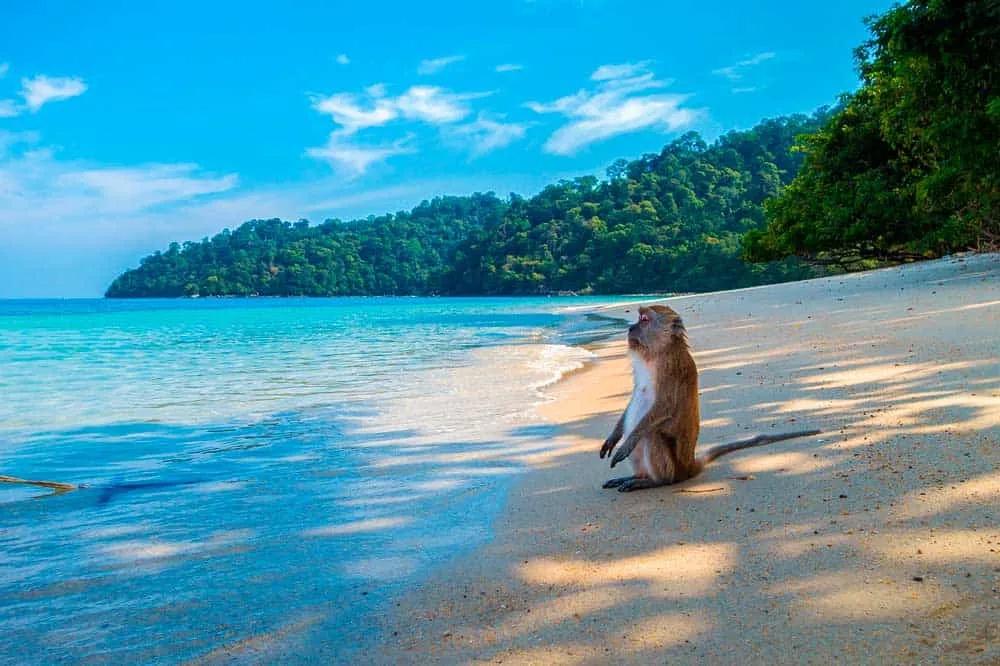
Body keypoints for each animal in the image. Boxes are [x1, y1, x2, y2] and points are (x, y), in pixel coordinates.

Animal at [598, 305, 820, 492]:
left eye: (644, 320)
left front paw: (627, 443)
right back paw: (637, 477)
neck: (657, 351)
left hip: (674, 468)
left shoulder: (670, 368)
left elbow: (665, 406)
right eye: (638, 319)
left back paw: (654, 481)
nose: (630, 328)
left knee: (651, 434)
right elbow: (635, 395)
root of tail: (689, 467)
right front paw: (613, 438)